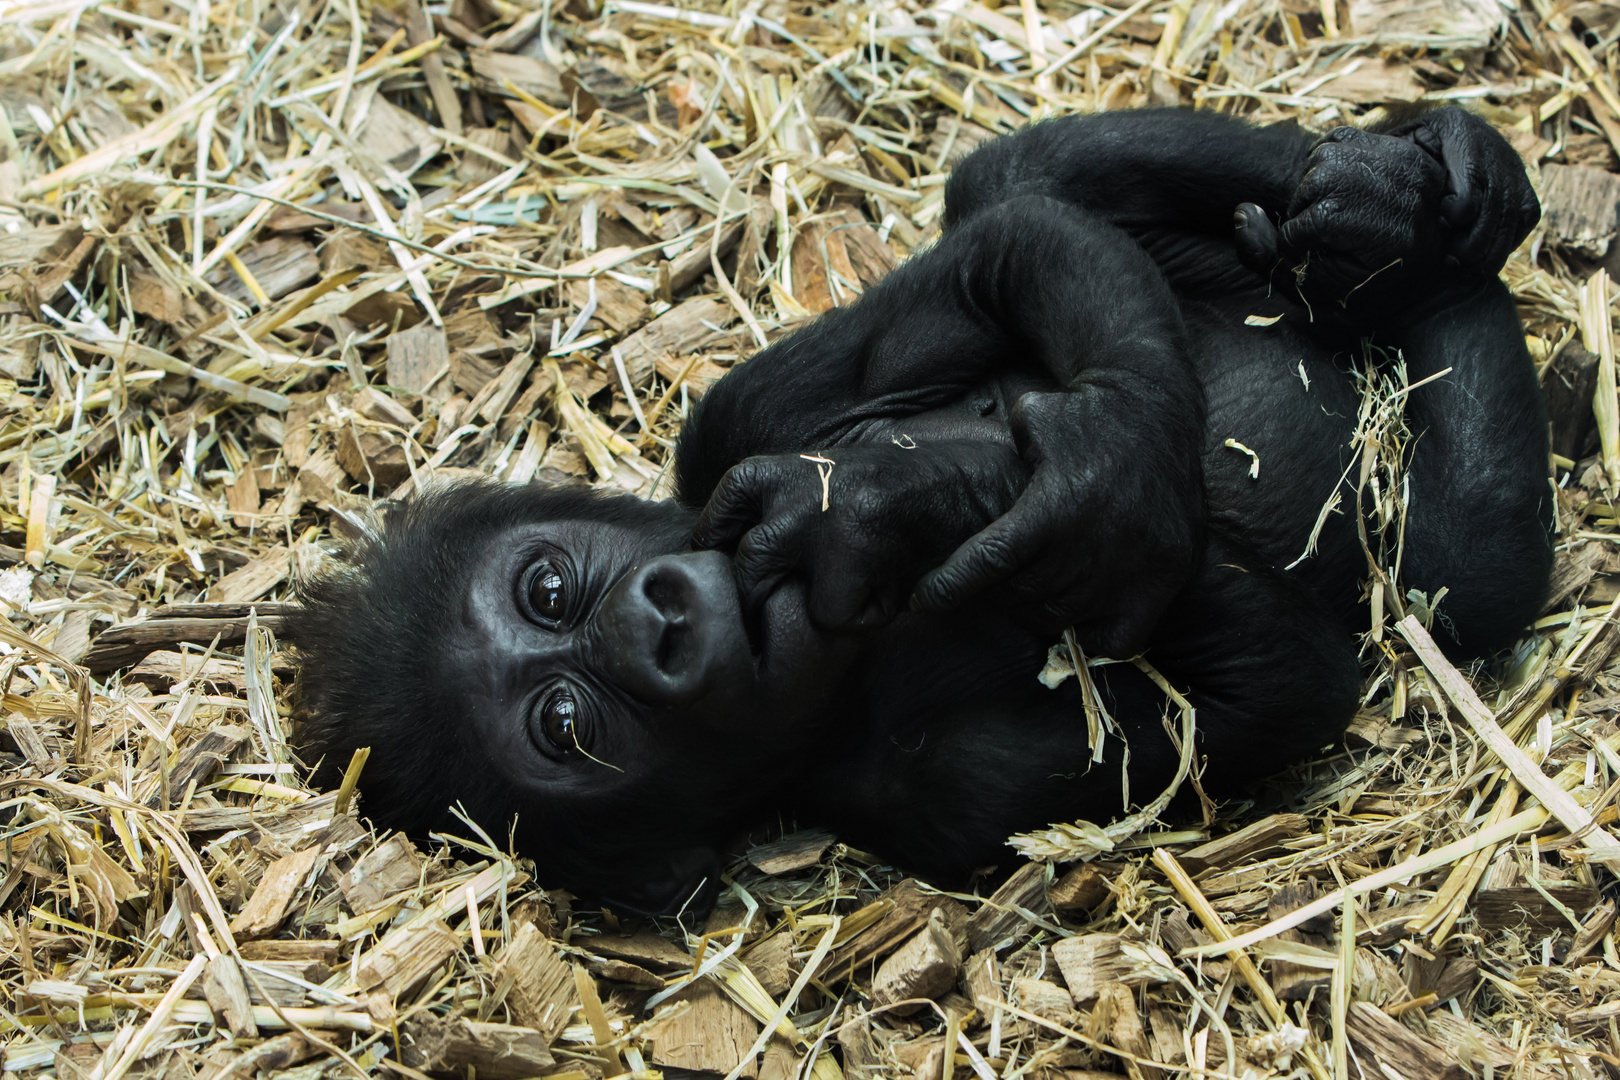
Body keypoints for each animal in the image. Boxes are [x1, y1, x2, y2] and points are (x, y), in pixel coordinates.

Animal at [298, 105, 1548, 919]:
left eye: (550, 586)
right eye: (564, 726)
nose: (655, 621)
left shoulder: (735, 421)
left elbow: (1013, 246)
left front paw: (1073, 474)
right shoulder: (944, 797)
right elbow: (1275, 693)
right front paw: (932, 502)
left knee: (1026, 176)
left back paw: (1414, 197)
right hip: (1428, 542)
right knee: (1469, 576)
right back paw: (1432, 287)